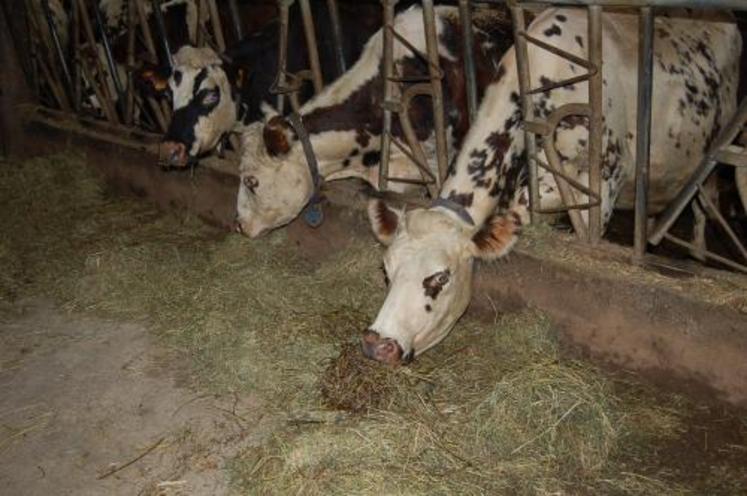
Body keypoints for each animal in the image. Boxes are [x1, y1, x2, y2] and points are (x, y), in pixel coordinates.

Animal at [362, 6, 744, 364]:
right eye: (386, 269)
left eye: (440, 278)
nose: (379, 344)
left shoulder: (601, 187)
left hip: (710, 160)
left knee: (703, 207)